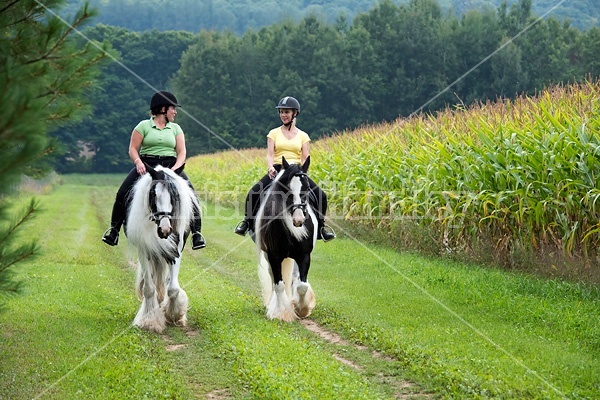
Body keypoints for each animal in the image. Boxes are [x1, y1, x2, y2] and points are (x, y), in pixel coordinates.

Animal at [124, 164, 197, 332]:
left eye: (174, 195)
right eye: (153, 194)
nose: (165, 230)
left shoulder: (175, 250)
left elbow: (173, 288)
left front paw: (174, 315)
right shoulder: (144, 250)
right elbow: (149, 288)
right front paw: (149, 320)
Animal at [254, 156, 316, 322]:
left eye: (307, 187)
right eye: (286, 189)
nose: (298, 220)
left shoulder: (304, 255)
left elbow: (302, 285)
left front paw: (301, 309)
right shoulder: (273, 255)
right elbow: (279, 284)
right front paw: (280, 312)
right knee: (273, 277)